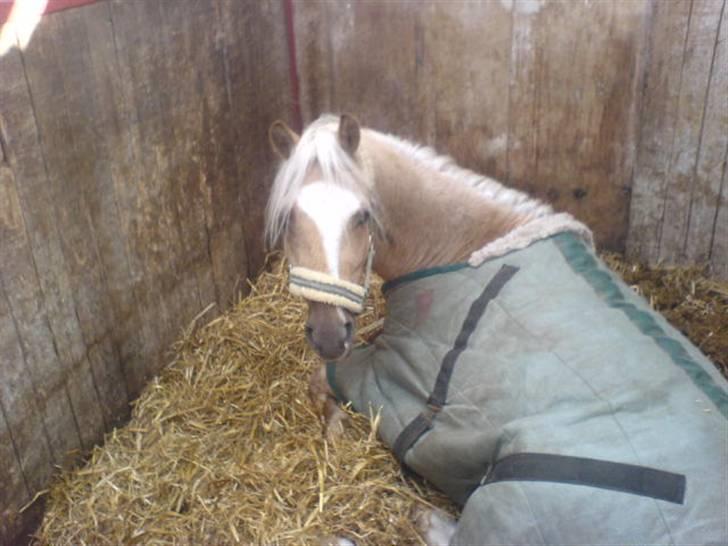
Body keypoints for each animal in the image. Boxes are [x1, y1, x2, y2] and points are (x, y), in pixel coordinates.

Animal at [268, 112, 728, 540]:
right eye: (289, 218)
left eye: (362, 215)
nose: (328, 335)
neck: (467, 247)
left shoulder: (386, 374)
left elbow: (320, 379)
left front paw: (335, 428)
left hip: (503, 502)